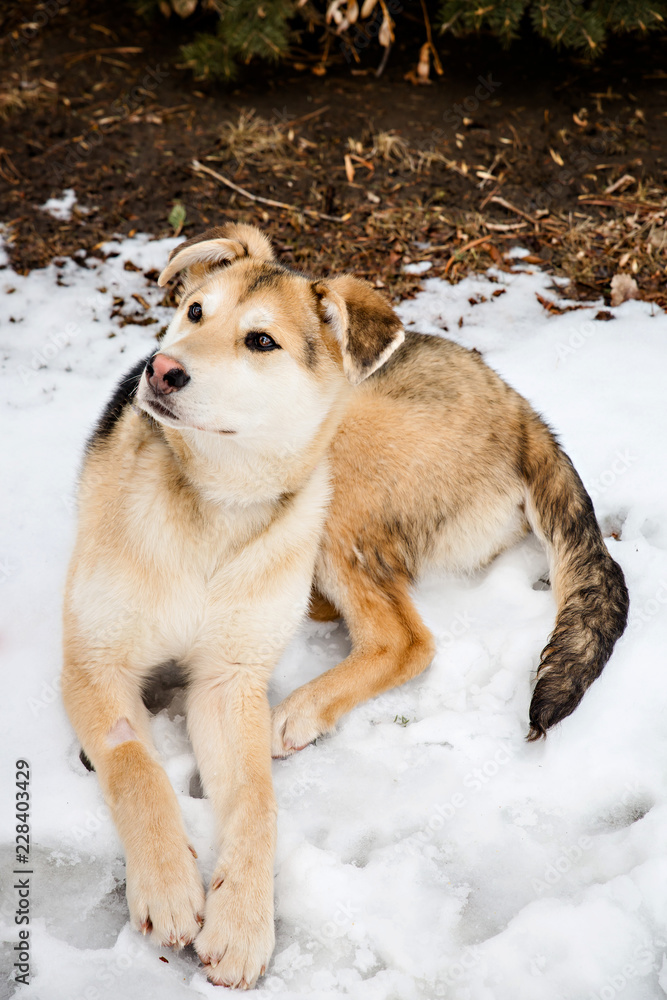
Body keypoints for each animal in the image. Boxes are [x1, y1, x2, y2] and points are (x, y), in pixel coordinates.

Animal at [60, 223, 628, 988]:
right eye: (195, 312)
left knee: (406, 637)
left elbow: (258, 803)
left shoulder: (229, 682)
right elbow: (136, 768)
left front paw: (243, 922)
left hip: (341, 472)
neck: (216, 506)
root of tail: (521, 410)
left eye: (261, 341)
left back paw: (299, 708)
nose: (159, 370)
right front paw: (169, 886)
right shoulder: (94, 663)